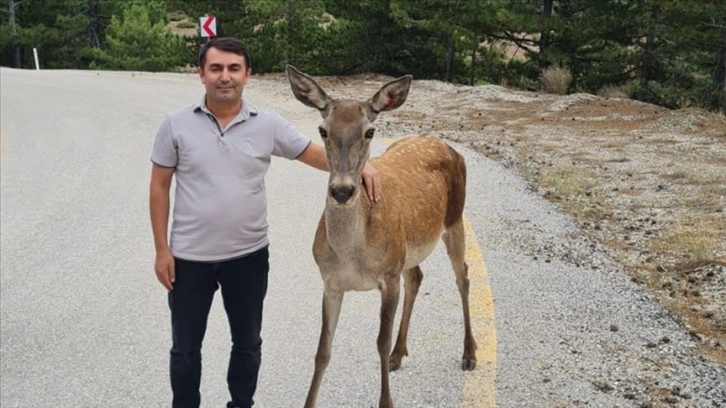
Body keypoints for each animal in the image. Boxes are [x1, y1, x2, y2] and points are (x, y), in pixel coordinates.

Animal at [288, 64, 480, 408]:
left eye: (370, 131)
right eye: (323, 130)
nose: (342, 191)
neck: (352, 255)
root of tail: (446, 145)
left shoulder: (388, 276)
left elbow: (379, 341)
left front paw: (386, 401)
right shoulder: (330, 282)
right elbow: (322, 350)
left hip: (454, 219)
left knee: (463, 277)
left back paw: (469, 353)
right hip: (408, 249)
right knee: (417, 276)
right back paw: (399, 354)